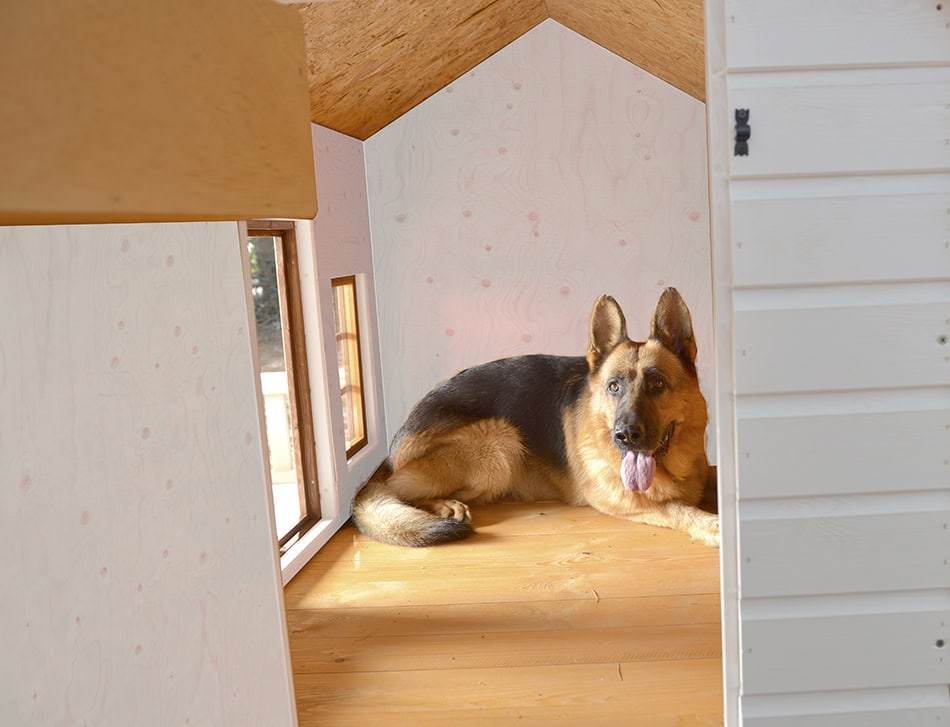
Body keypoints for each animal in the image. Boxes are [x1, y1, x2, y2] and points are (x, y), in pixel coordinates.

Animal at [354, 288, 716, 548]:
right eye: (614, 386)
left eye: (658, 384)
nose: (625, 435)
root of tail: (390, 452)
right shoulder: (623, 498)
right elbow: (676, 507)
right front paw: (711, 524)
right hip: (500, 438)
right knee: (393, 490)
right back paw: (442, 506)